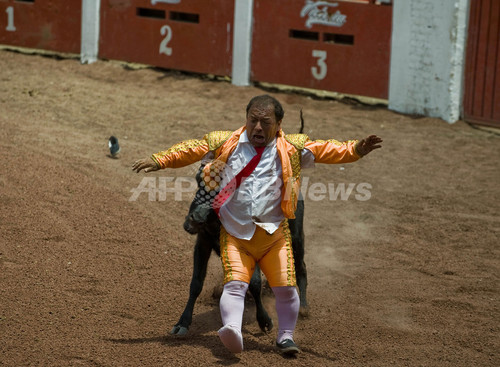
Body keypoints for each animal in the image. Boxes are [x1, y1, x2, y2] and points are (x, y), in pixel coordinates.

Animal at [170, 166, 306, 336]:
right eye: (199, 180)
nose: (194, 219)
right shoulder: (203, 244)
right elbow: (196, 283)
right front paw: (182, 323)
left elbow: (255, 283)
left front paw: (264, 321)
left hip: (296, 238)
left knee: (301, 267)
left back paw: (303, 307)